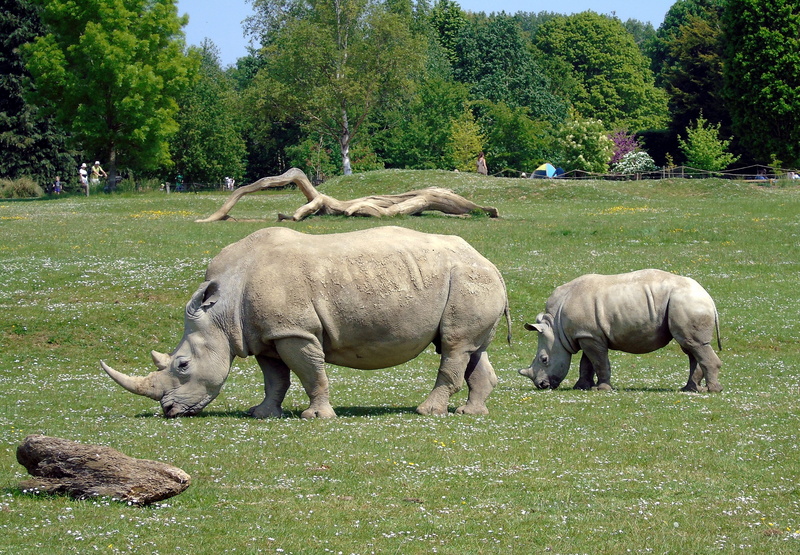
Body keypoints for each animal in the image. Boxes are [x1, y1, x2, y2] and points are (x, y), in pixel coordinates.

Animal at [101, 226, 510, 418]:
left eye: (183, 365)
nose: (168, 410)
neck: (222, 310)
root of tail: (491, 263)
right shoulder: (265, 334)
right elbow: (275, 379)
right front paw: (262, 414)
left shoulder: (295, 332)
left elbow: (310, 373)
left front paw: (316, 416)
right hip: (469, 281)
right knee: (468, 348)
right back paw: (471, 413)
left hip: (468, 279)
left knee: (454, 347)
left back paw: (427, 411)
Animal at [519, 269, 722, 392]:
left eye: (544, 359)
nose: (541, 385)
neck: (556, 327)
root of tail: (708, 297)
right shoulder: (587, 334)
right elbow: (587, 363)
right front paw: (581, 387)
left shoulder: (589, 336)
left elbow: (599, 362)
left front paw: (602, 389)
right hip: (684, 304)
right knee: (690, 347)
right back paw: (689, 390)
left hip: (687, 302)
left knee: (694, 345)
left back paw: (712, 390)